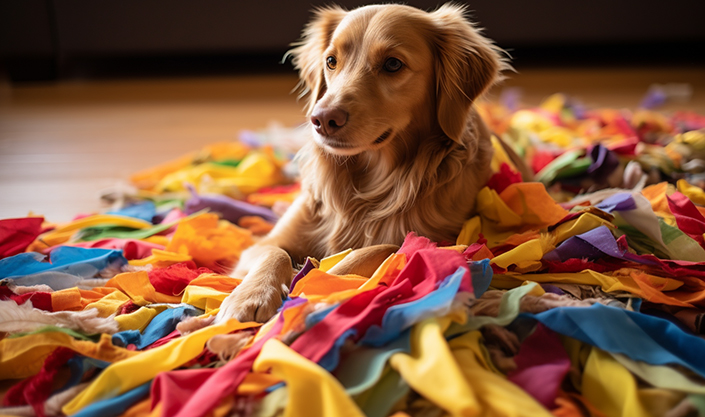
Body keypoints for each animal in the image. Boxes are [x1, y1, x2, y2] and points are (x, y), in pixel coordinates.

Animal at [214, 1, 512, 324]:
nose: (321, 119)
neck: (368, 181)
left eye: (393, 64)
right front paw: (250, 296)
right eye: (331, 61)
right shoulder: (267, 241)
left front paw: (318, 283)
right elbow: (273, 252)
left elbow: (384, 248)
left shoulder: (445, 240)